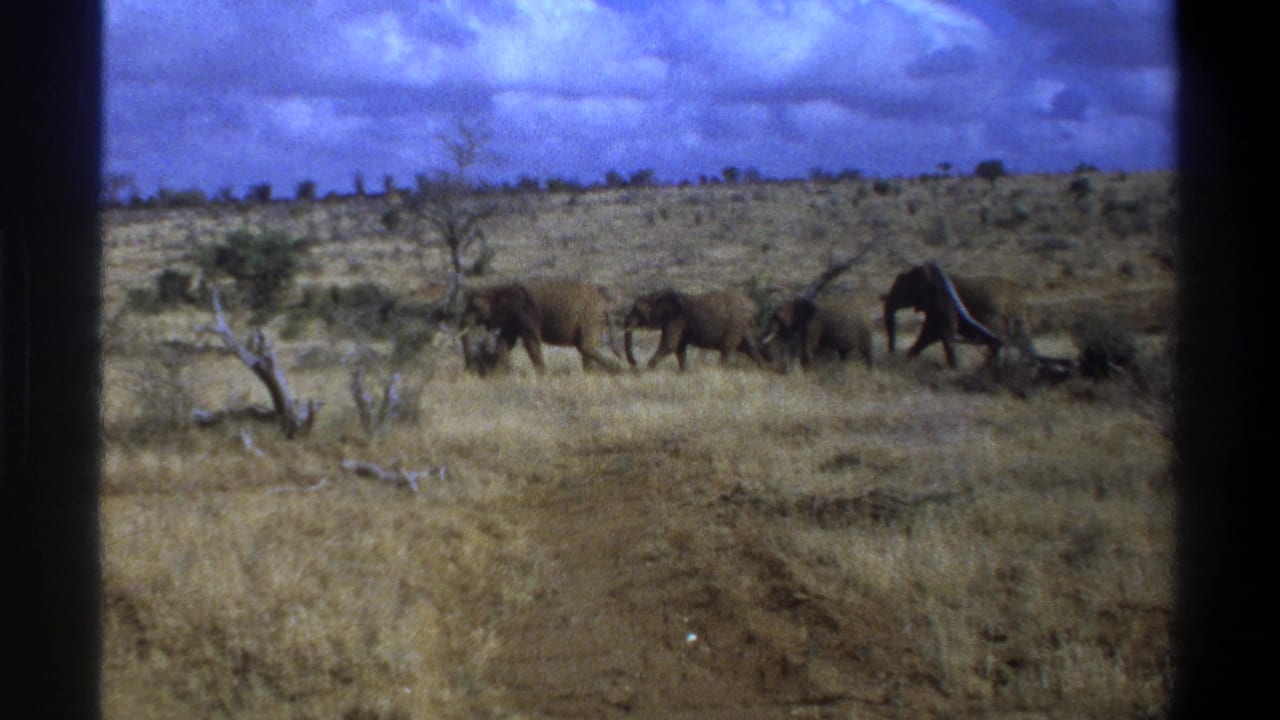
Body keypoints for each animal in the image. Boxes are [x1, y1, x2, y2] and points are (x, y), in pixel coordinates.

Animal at [460, 279, 622, 374]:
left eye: (475, 307)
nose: (468, 370)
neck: (499, 289)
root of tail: (604, 302)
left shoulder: (525, 314)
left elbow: (530, 341)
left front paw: (543, 375)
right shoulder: (513, 320)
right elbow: (505, 342)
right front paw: (496, 374)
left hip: (590, 317)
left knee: (585, 346)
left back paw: (618, 369)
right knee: (585, 348)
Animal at [622, 288, 767, 371]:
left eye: (637, 310)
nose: (635, 362)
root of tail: (754, 308)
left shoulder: (676, 321)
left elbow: (670, 344)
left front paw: (648, 368)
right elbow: (679, 349)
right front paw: (684, 372)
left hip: (735, 326)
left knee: (728, 350)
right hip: (744, 328)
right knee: (750, 349)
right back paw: (763, 369)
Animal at [882, 263, 1030, 368]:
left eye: (902, 289)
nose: (891, 352)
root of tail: (1018, 297)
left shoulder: (942, 304)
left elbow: (933, 333)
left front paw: (953, 368)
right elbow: (932, 334)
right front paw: (909, 358)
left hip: (995, 317)